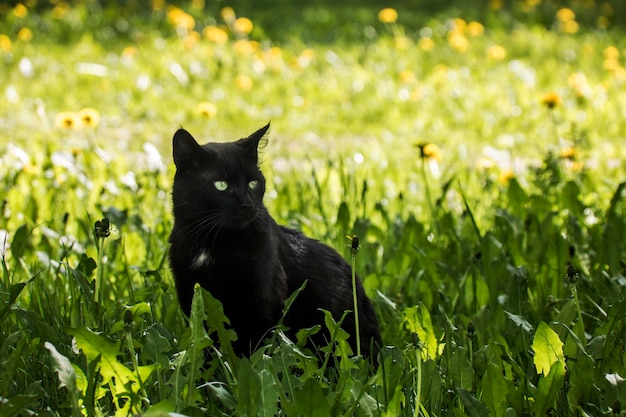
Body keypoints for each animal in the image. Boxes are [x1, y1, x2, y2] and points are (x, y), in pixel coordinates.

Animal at [167, 123, 380, 358]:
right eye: (221, 185)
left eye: (253, 183)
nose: (247, 204)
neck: (211, 243)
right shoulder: (191, 295)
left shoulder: (261, 302)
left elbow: (256, 349)